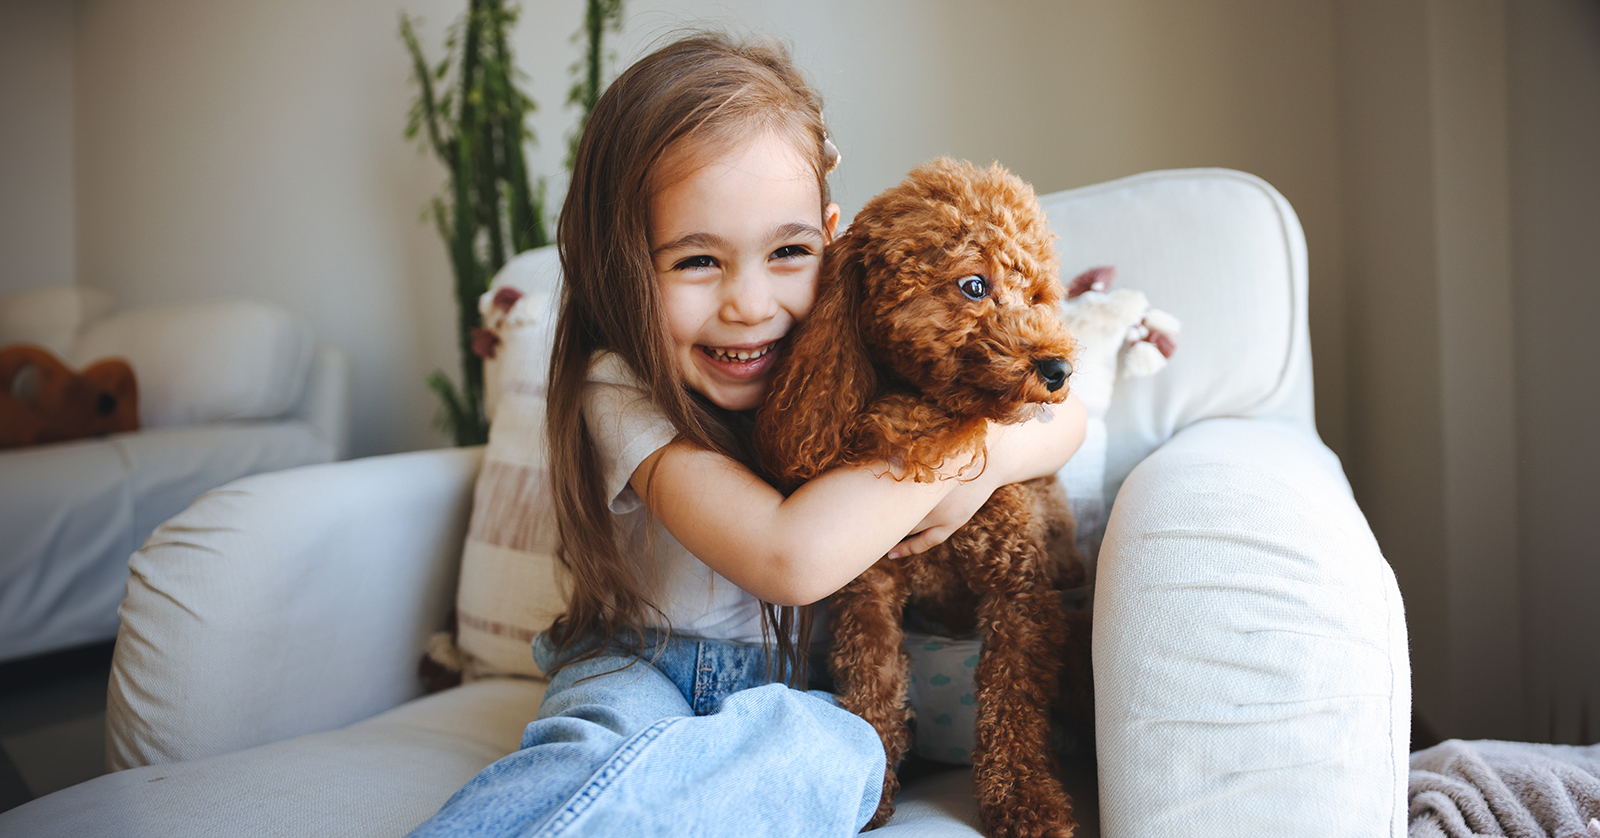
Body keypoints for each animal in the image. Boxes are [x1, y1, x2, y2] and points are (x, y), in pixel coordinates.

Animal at [752, 159, 1081, 838]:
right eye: (975, 285)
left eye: (1037, 297)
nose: (1059, 368)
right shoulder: (867, 593)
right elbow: (872, 690)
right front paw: (871, 791)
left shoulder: (1018, 592)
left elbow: (1012, 702)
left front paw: (1024, 801)